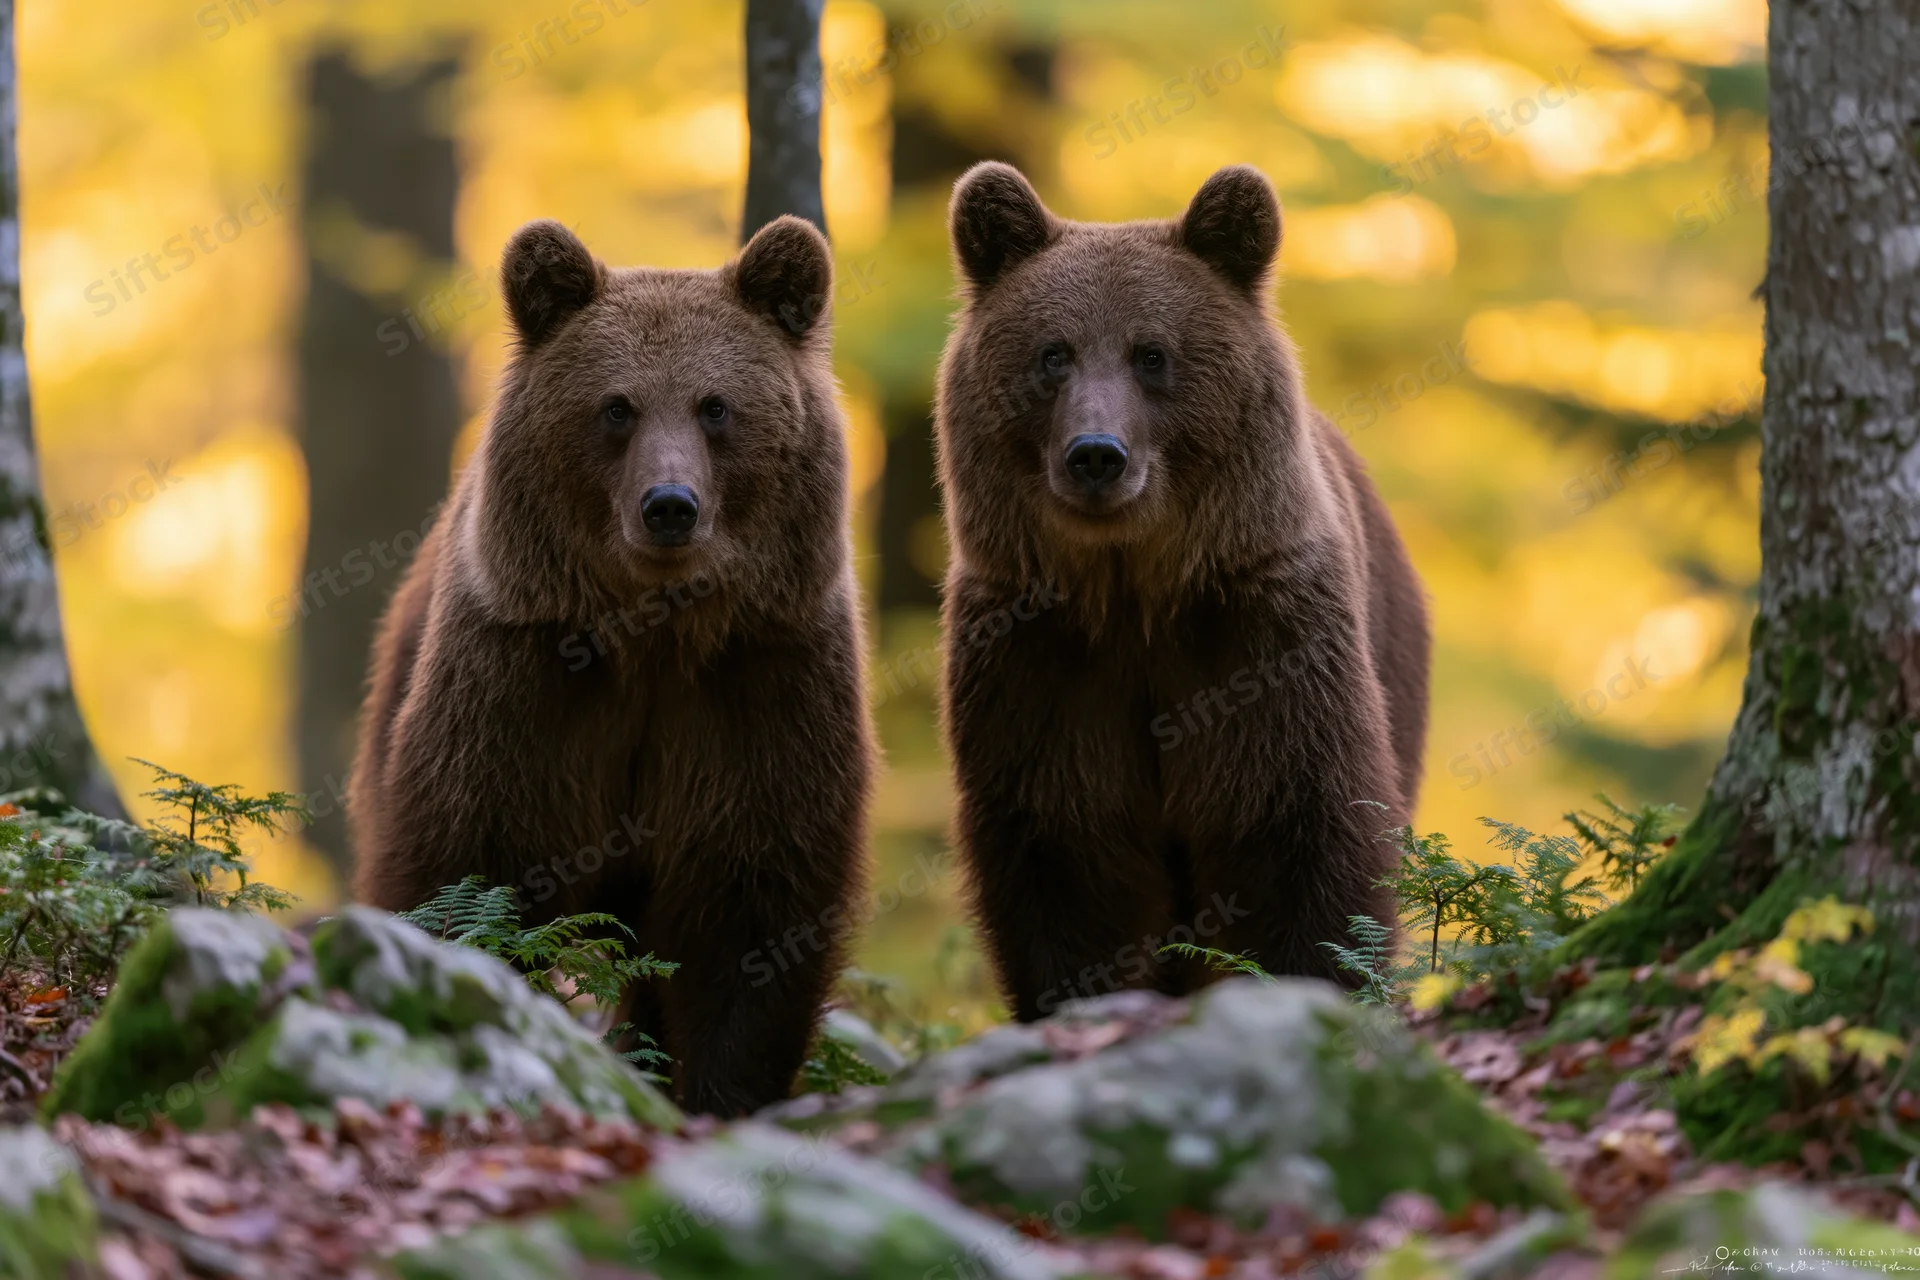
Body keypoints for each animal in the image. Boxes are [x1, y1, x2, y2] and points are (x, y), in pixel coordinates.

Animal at [349, 216, 873, 1116]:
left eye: (715, 406)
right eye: (617, 406)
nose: (669, 506)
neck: (653, 636)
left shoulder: (761, 683)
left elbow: (751, 910)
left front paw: (719, 1091)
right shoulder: (524, 683)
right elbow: (470, 866)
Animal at [933, 162, 1431, 1019]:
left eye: (1152, 353)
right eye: (1054, 353)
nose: (1096, 454)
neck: (1134, 590)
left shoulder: (1261, 634)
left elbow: (1303, 823)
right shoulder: (1038, 657)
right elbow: (1065, 852)